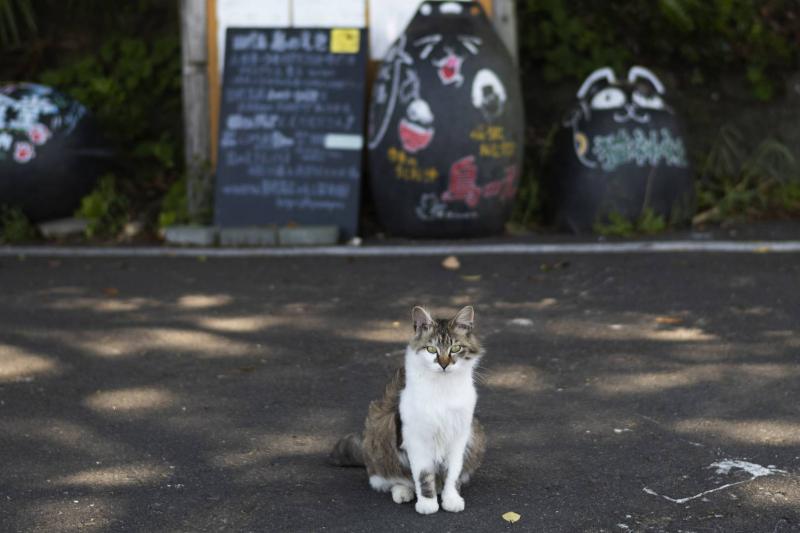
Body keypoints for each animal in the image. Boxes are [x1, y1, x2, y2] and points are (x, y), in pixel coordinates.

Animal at [328, 306, 484, 512]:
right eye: (431, 349)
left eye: (456, 348)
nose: (443, 364)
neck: (442, 388)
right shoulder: (416, 438)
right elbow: (423, 475)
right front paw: (427, 503)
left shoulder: (459, 436)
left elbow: (453, 473)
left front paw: (451, 498)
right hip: (380, 432)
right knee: (389, 479)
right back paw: (403, 492)